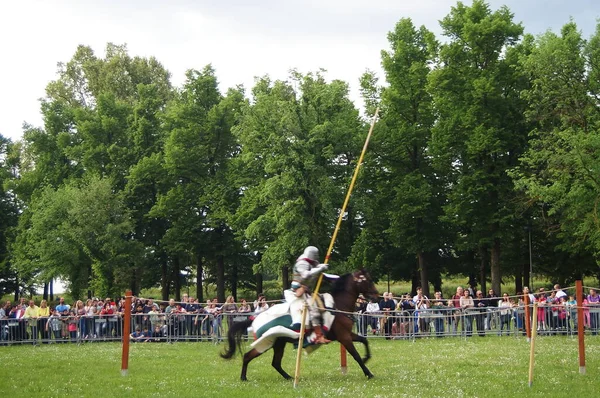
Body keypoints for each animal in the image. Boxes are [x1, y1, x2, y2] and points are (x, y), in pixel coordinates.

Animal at [220, 268, 380, 380]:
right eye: (368, 280)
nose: (376, 296)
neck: (338, 306)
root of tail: (255, 318)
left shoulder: (347, 334)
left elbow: (364, 340)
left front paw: (367, 358)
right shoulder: (344, 337)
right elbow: (356, 355)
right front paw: (369, 373)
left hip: (278, 343)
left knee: (275, 363)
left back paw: (289, 377)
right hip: (267, 342)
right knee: (248, 356)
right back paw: (243, 378)